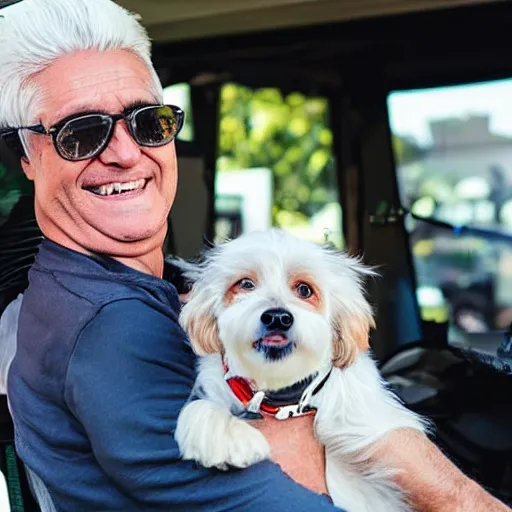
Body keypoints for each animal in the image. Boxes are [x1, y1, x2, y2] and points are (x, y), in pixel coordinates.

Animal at [174, 229, 426, 512]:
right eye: (246, 284)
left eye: (304, 290)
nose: (277, 317)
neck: (279, 392)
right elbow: (202, 405)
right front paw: (224, 435)